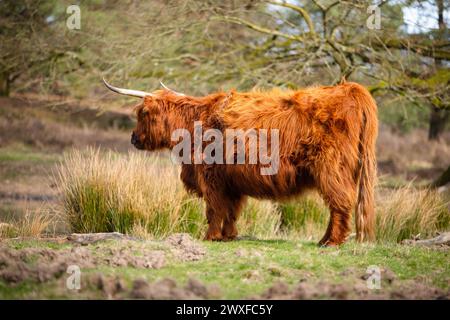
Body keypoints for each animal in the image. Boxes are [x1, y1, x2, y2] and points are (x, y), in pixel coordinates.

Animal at [104, 79, 376, 246]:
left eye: (142, 113)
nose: (133, 138)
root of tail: (350, 88)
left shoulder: (210, 176)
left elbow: (214, 208)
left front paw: (210, 236)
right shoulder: (231, 181)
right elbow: (231, 210)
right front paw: (228, 236)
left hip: (331, 169)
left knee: (340, 203)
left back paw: (332, 242)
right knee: (338, 204)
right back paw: (323, 240)